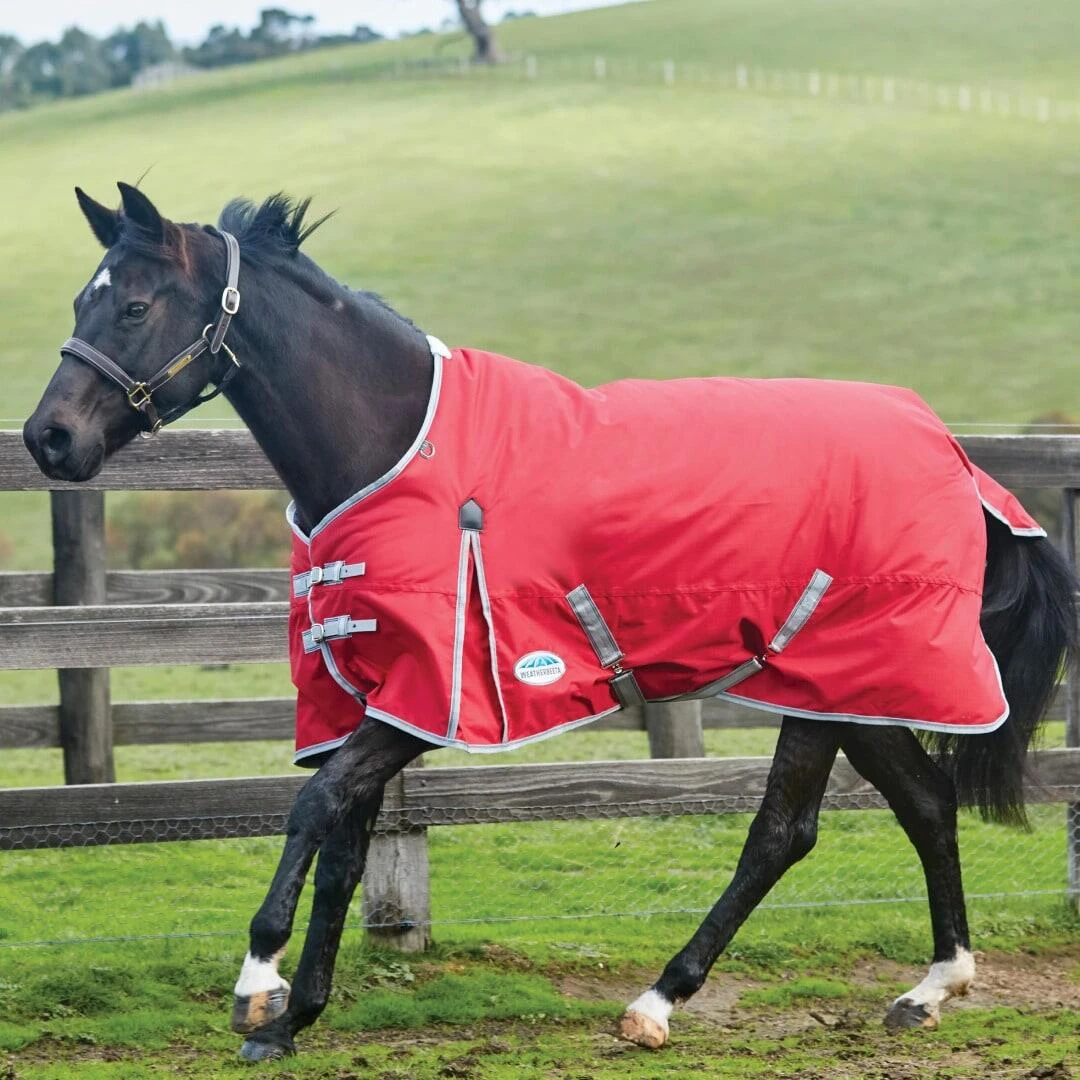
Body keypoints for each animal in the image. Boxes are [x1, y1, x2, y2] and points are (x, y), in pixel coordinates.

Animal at [24, 183, 1078, 1062]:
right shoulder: (367, 696)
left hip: (829, 683)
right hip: (849, 687)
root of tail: (959, 462)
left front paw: (259, 986)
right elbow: (347, 843)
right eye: (77, 302)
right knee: (924, 803)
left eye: (133, 306)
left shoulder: (424, 703)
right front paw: (296, 1018)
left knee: (784, 832)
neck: (397, 448)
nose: (48, 438)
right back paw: (930, 988)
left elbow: (316, 810)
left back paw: (658, 1003)